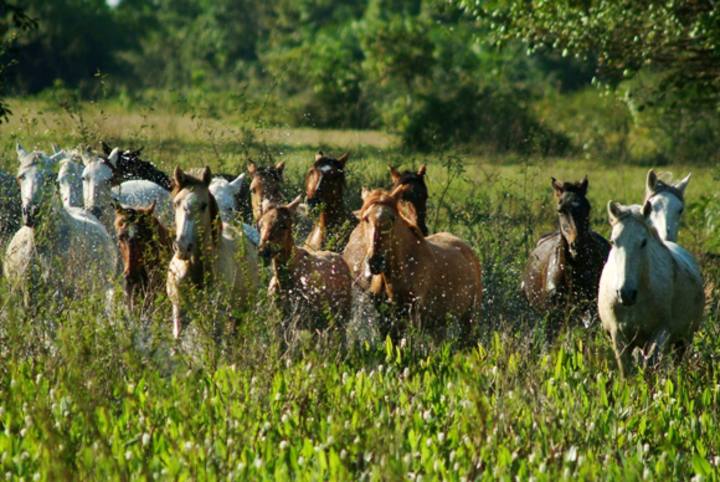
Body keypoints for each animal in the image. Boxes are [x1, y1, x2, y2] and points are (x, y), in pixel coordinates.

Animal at [258, 196, 352, 328]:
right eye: (260, 224)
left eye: (284, 225)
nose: (264, 250)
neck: (285, 284)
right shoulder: (275, 320)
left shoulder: (304, 320)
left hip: (342, 315)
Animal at [350, 186, 480, 338]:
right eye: (366, 218)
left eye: (392, 218)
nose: (375, 261)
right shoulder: (384, 319)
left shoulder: (413, 315)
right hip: (438, 323)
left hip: (469, 318)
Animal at [596, 200, 704, 376]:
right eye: (613, 241)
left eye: (643, 242)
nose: (626, 294)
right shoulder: (618, 336)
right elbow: (627, 373)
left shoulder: (661, 333)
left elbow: (651, 367)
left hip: (683, 340)